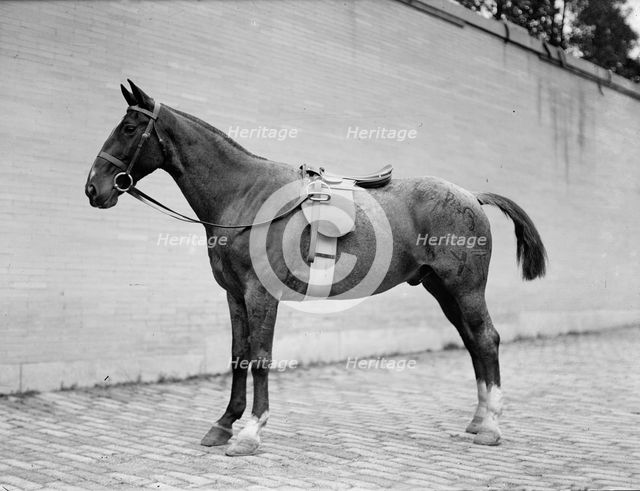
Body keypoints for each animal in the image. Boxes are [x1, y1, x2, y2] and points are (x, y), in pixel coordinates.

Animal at [85, 80, 547, 456]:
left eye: (129, 129)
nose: (94, 188)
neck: (247, 196)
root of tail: (471, 196)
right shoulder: (234, 294)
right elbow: (237, 355)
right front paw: (224, 424)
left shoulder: (260, 294)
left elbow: (260, 357)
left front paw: (250, 432)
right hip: (442, 289)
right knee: (472, 342)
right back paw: (478, 419)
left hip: (465, 289)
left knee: (486, 339)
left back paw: (490, 427)